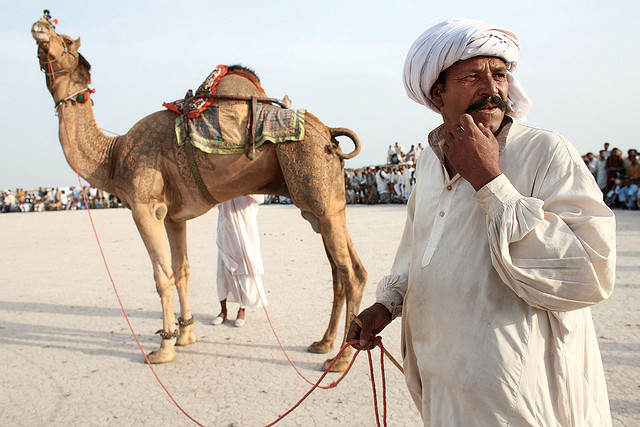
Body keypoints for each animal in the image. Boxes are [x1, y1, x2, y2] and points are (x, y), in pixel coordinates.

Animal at [31, 16, 370, 372]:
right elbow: (182, 270)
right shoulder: (172, 216)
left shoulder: (143, 206)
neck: (114, 155)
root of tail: (330, 133)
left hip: (315, 191)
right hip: (328, 204)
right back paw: (323, 343)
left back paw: (340, 359)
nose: (39, 24)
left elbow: (162, 276)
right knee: (343, 271)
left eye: (65, 40)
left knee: (350, 274)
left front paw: (164, 348)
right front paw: (186, 334)